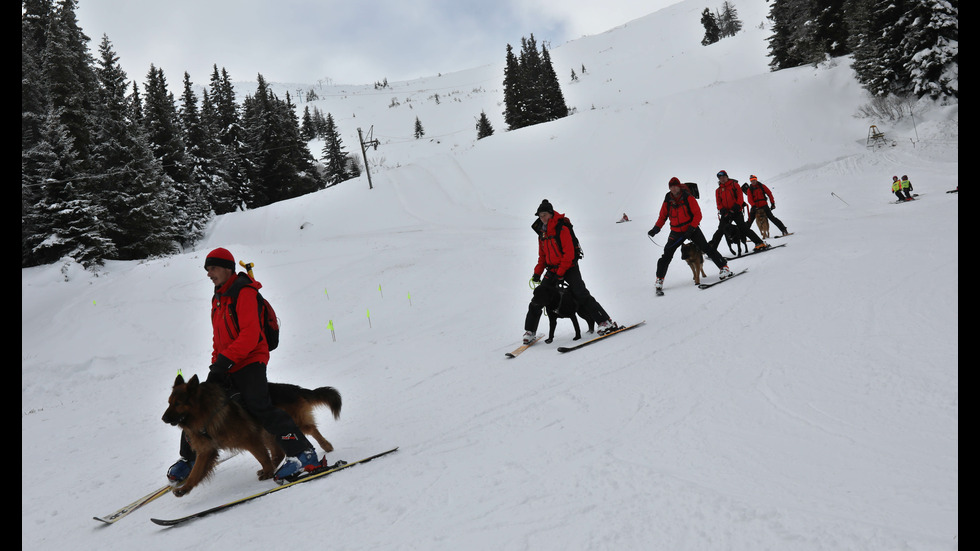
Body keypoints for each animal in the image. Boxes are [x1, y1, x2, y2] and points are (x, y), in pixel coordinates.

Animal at [163, 374, 342, 498]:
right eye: (169, 402)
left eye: (177, 403)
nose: (163, 418)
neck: (206, 412)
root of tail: (292, 388)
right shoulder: (206, 450)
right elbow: (195, 473)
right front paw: (184, 488)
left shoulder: (250, 439)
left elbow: (262, 456)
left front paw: (269, 472)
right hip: (268, 433)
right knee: (279, 453)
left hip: (285, 425)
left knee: (310, 430)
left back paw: (325, 445)